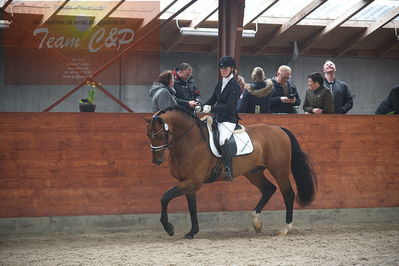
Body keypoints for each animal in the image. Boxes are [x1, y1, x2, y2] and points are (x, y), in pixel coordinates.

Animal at [145, 106, 318, 239]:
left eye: (159, 135)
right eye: (148, 135)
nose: (157, 160)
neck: (191, 142)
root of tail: (278, 129)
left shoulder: (192, 182)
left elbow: (165, 197)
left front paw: (169, 228)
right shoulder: (188, 183)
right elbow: (192, 207)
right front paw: (192, 232)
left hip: (279, 171)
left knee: (288, 194)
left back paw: (284, 229)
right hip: (253, 172)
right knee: (269, 189)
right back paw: (256, 222)